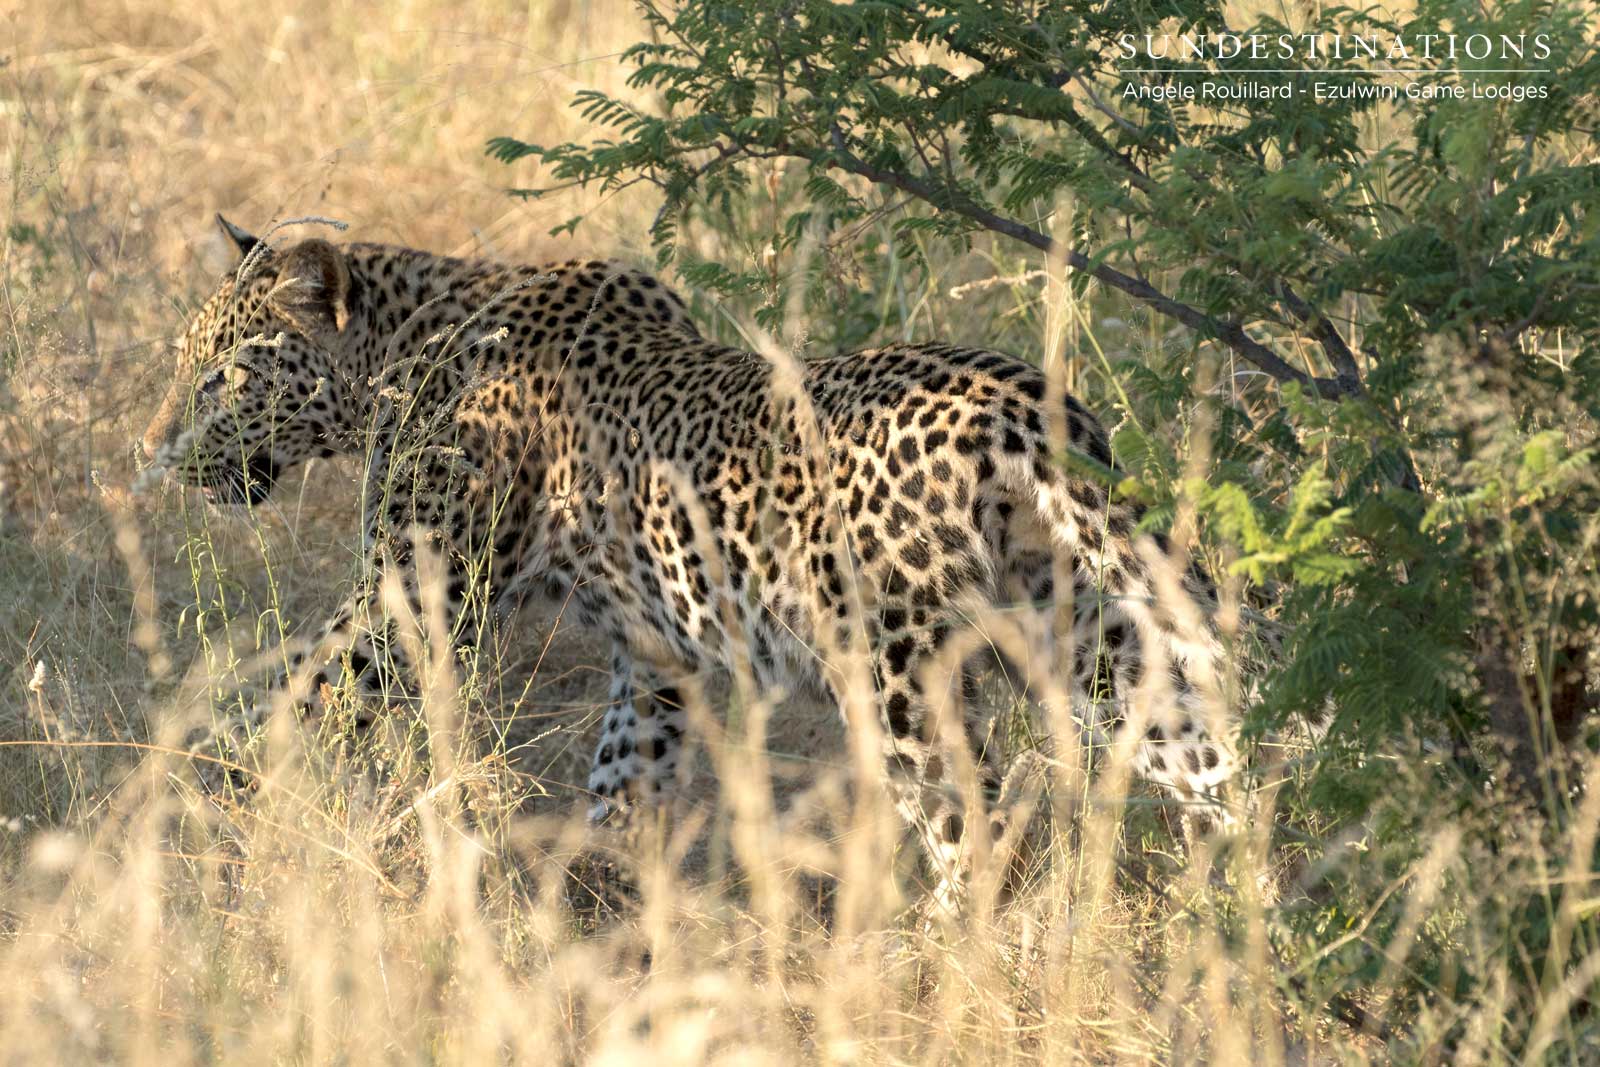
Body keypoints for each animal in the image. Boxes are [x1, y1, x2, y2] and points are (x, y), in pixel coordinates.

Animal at [141, 216, 1242, 902]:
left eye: (221, 377)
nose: (155, 450)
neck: (404, 344)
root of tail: (1028, 411)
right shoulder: (653, 648)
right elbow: (623, 772)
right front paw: (603, 900)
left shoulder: (412, 596)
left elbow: (289, 699)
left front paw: (190, 814)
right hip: (1103, 638)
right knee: (1218, 780)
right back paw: (1236, 943)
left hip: (898, 672)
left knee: (971, 831)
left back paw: (933, 976)